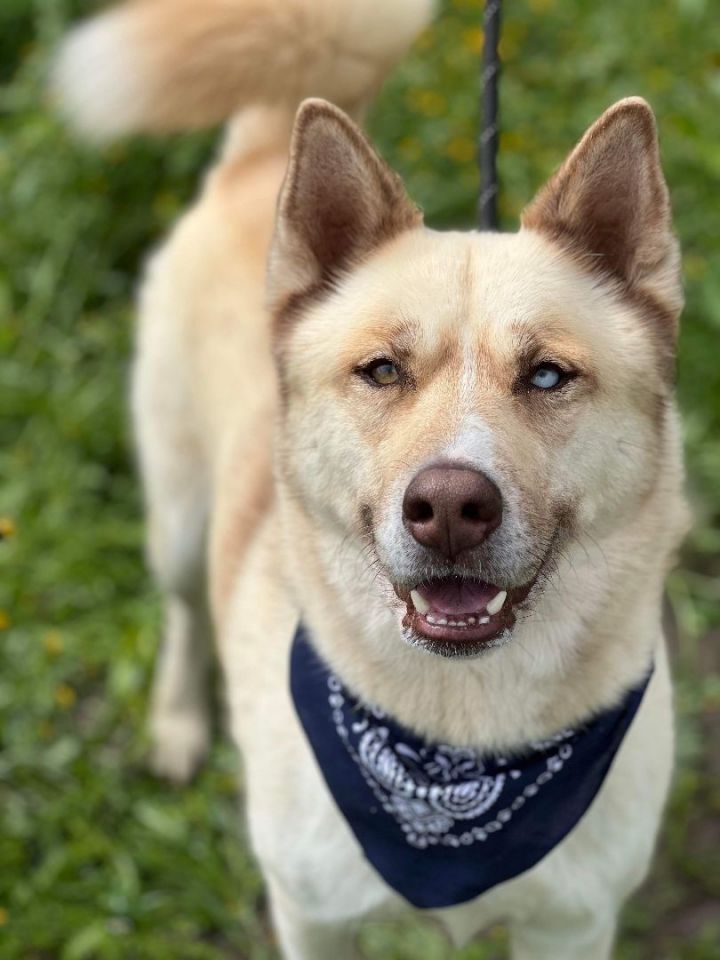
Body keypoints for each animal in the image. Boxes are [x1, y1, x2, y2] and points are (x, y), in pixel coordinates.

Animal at [53, 3, 688, 956]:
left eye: (547, 375)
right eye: (382, 370)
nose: (450, 508)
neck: (452, 741)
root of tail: (266, 149)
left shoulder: (573, 925)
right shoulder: (310, 914)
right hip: (179, 519)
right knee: (184, 609)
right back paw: (178, 725)